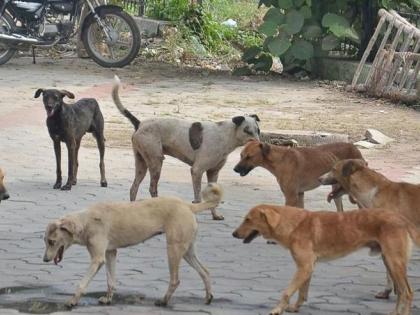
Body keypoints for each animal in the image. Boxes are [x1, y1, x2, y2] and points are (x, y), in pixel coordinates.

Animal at [233, 205, 416, 315]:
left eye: (248, 219)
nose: (234, 234)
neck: (293, 224)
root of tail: (400, 218)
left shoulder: (304, 267)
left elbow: (287, 292)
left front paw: (277, 309)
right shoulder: (307, 267)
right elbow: (302, 292)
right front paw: (295, 308)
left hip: (394, 262)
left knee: (407, 292)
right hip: (389, 262)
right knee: (401, 291)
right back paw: (395, 313)